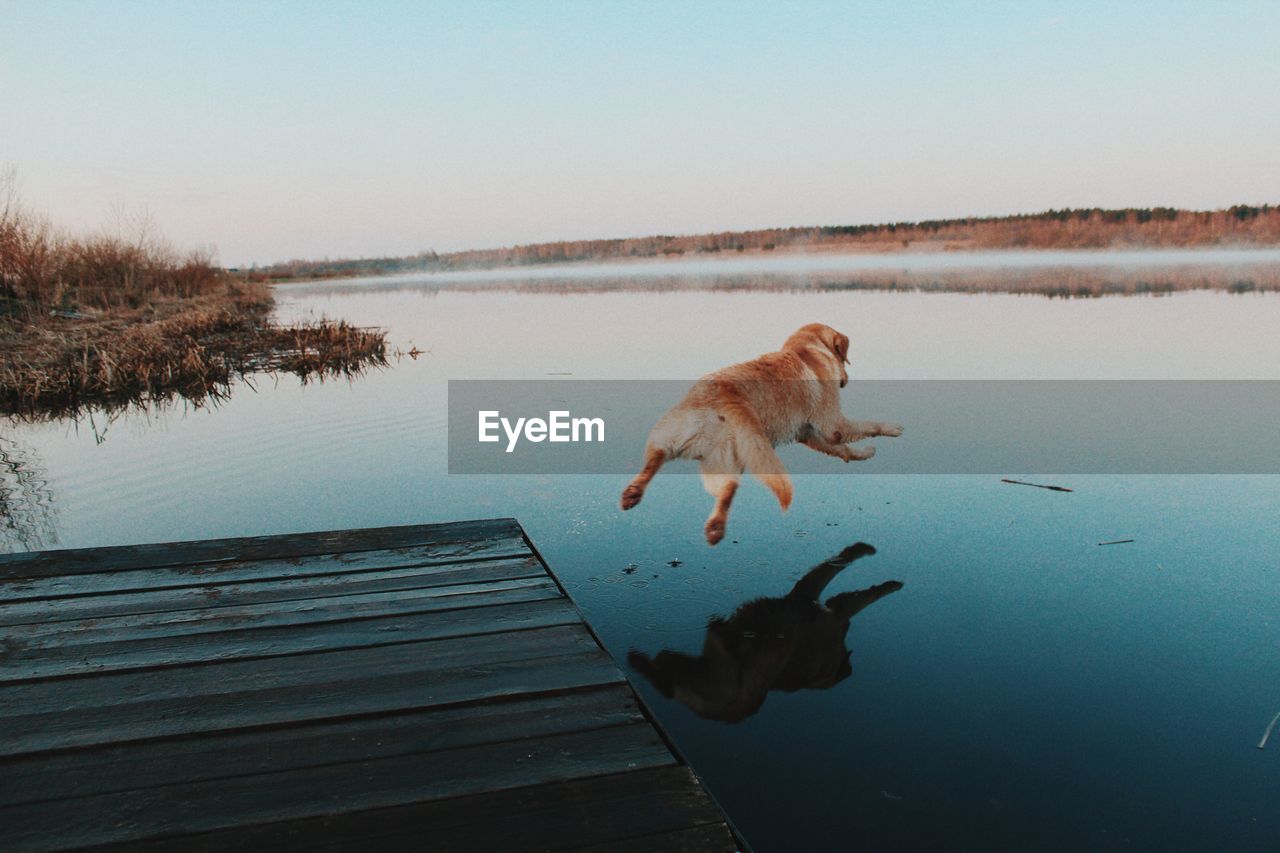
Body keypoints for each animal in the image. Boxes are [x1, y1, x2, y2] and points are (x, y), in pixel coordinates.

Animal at [616, 322, 901, 540]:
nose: (846, 379)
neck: (805, 351)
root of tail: (719, 395)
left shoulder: (809, 434)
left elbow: (842, 449)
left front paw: (861, 454)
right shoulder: (832, 424)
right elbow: (864, 427)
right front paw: (891, 429)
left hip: (694, 444)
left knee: (660, 459)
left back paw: (636, 493)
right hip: (738, 452)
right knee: (727, 489)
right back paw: (716, 528)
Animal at [629, 537, 901, 717]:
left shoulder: (808, 595)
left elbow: (840, 563)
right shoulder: (825, 606)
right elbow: (853, 577)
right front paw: (881, 570)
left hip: (701, 672)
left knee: (668, 671)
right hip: (729, 674)